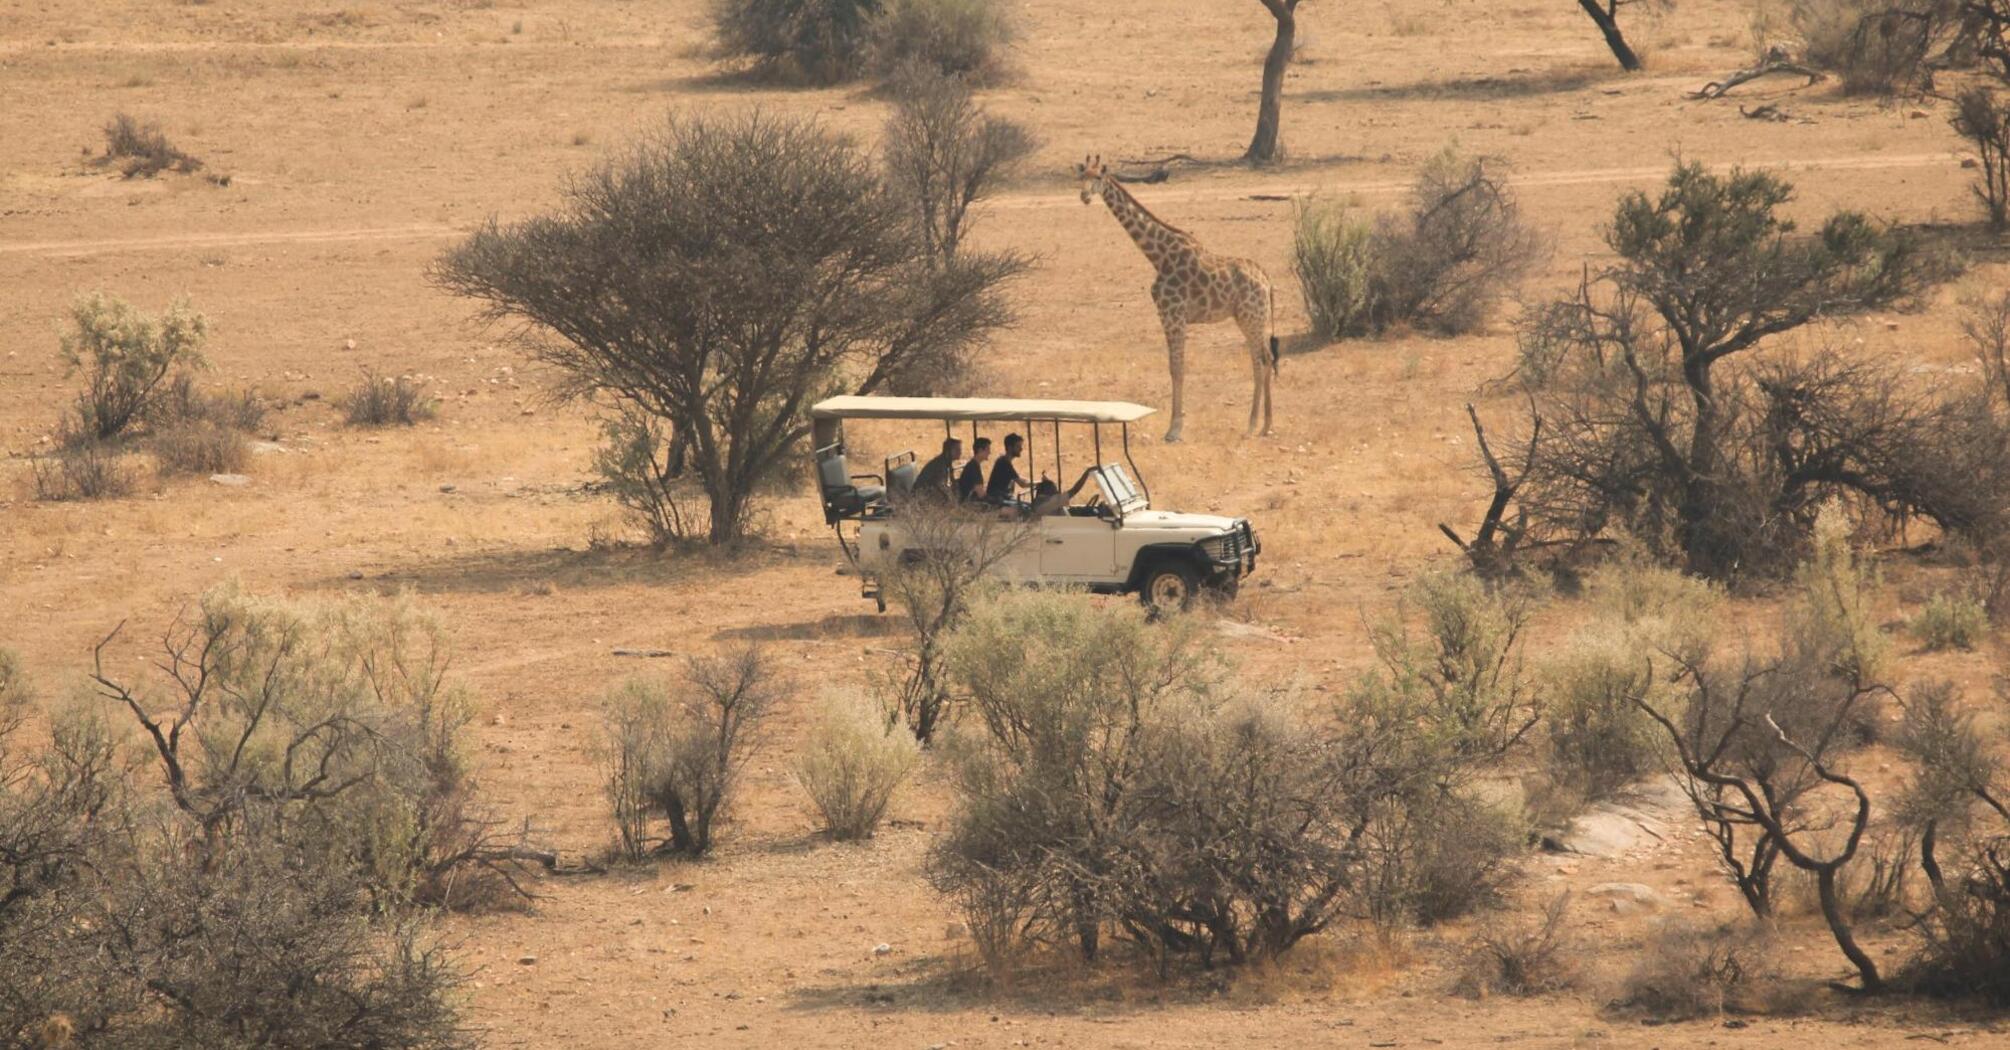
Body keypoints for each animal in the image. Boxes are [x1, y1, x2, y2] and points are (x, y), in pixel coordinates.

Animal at [1077, 152, 1278, 438]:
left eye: (1097, 177)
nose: (1084, 196)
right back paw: (1264, 425)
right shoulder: (1166, 316)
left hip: (1252, 317)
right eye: (1081, 176)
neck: (1158, 257)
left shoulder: (1174, 315)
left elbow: (1177, 368)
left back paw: (1254, 425)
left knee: (1261, 360)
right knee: (1263, 358)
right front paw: (1174, 426)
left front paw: (1174, 430)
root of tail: (1267, 280)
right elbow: (1173, 367)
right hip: (1247, 318)